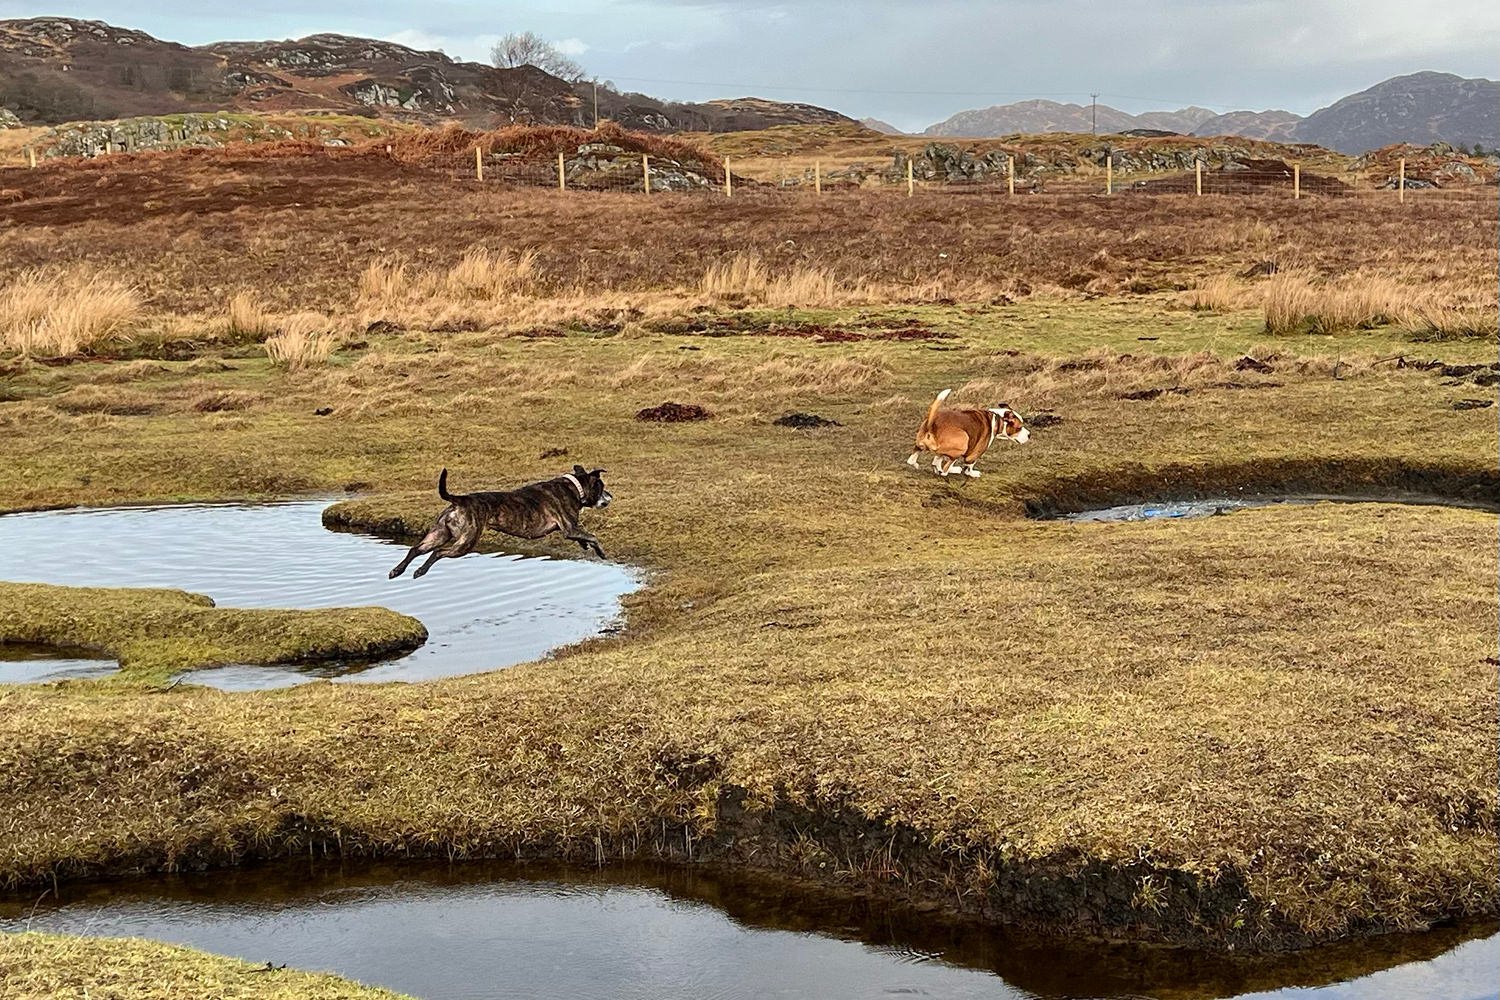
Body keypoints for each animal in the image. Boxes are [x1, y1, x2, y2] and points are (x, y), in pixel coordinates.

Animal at [396, 467, 618, 581]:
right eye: (601, 487)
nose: (611, 496)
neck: (575, 486)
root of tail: (460, 500)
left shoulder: (570, 529)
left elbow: (584, 537)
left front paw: (586, 546)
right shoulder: (569, 527)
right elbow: (592, 536)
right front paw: (600, 552)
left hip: (440, 533)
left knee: (417, 548)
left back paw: (397, 571)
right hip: (465, 542)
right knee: (438, 552)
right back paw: (420, 571)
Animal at [900, 389, 1032, 479]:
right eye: (1019, 427)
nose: (1029, 434)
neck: (998, 418)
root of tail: (931, 425)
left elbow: (937, 460)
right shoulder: (973, 454)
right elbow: (969, 465)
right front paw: (972, 473)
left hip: (920, 445)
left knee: (914, 460)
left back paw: (920, 465)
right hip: (964, 441)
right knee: (945, 470)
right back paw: (952, 470)